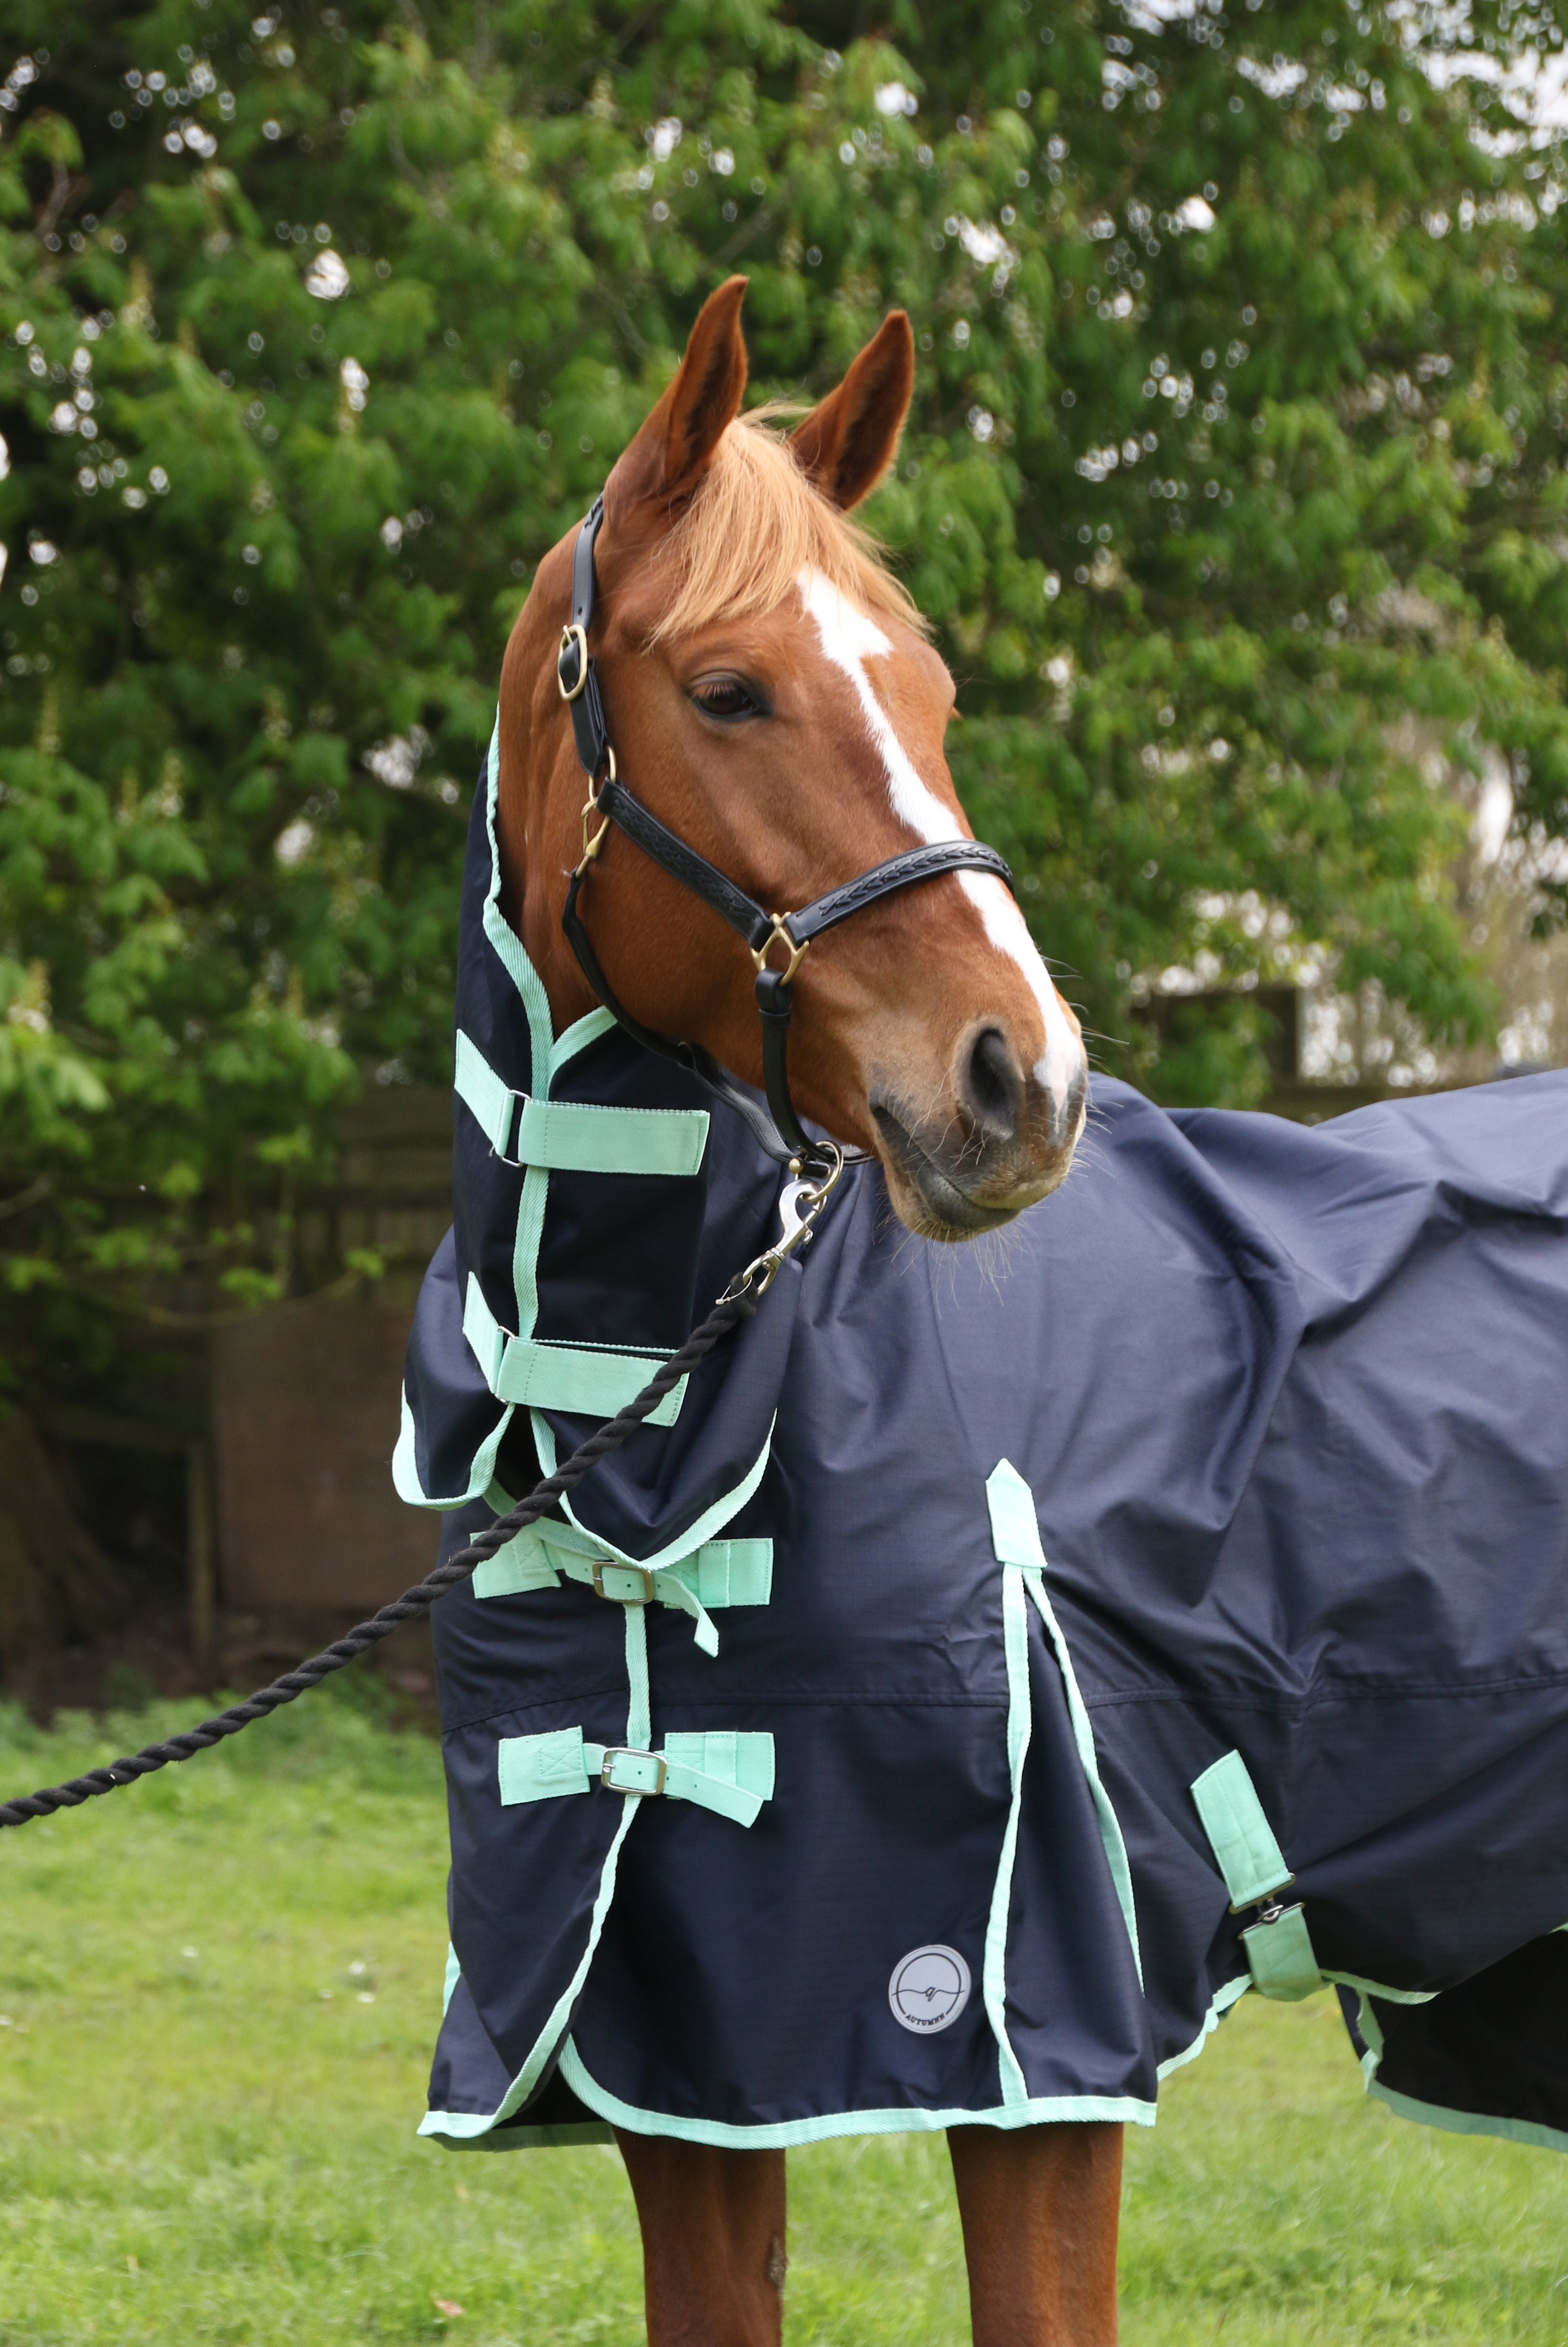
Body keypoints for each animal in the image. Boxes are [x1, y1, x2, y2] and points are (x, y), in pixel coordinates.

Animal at [398, 277, 1568, 2345]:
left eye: (933, 700)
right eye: (727, 691)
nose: (1024, 1080)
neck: (672, 1421)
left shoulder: (1026, 2042)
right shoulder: (681, 2076)